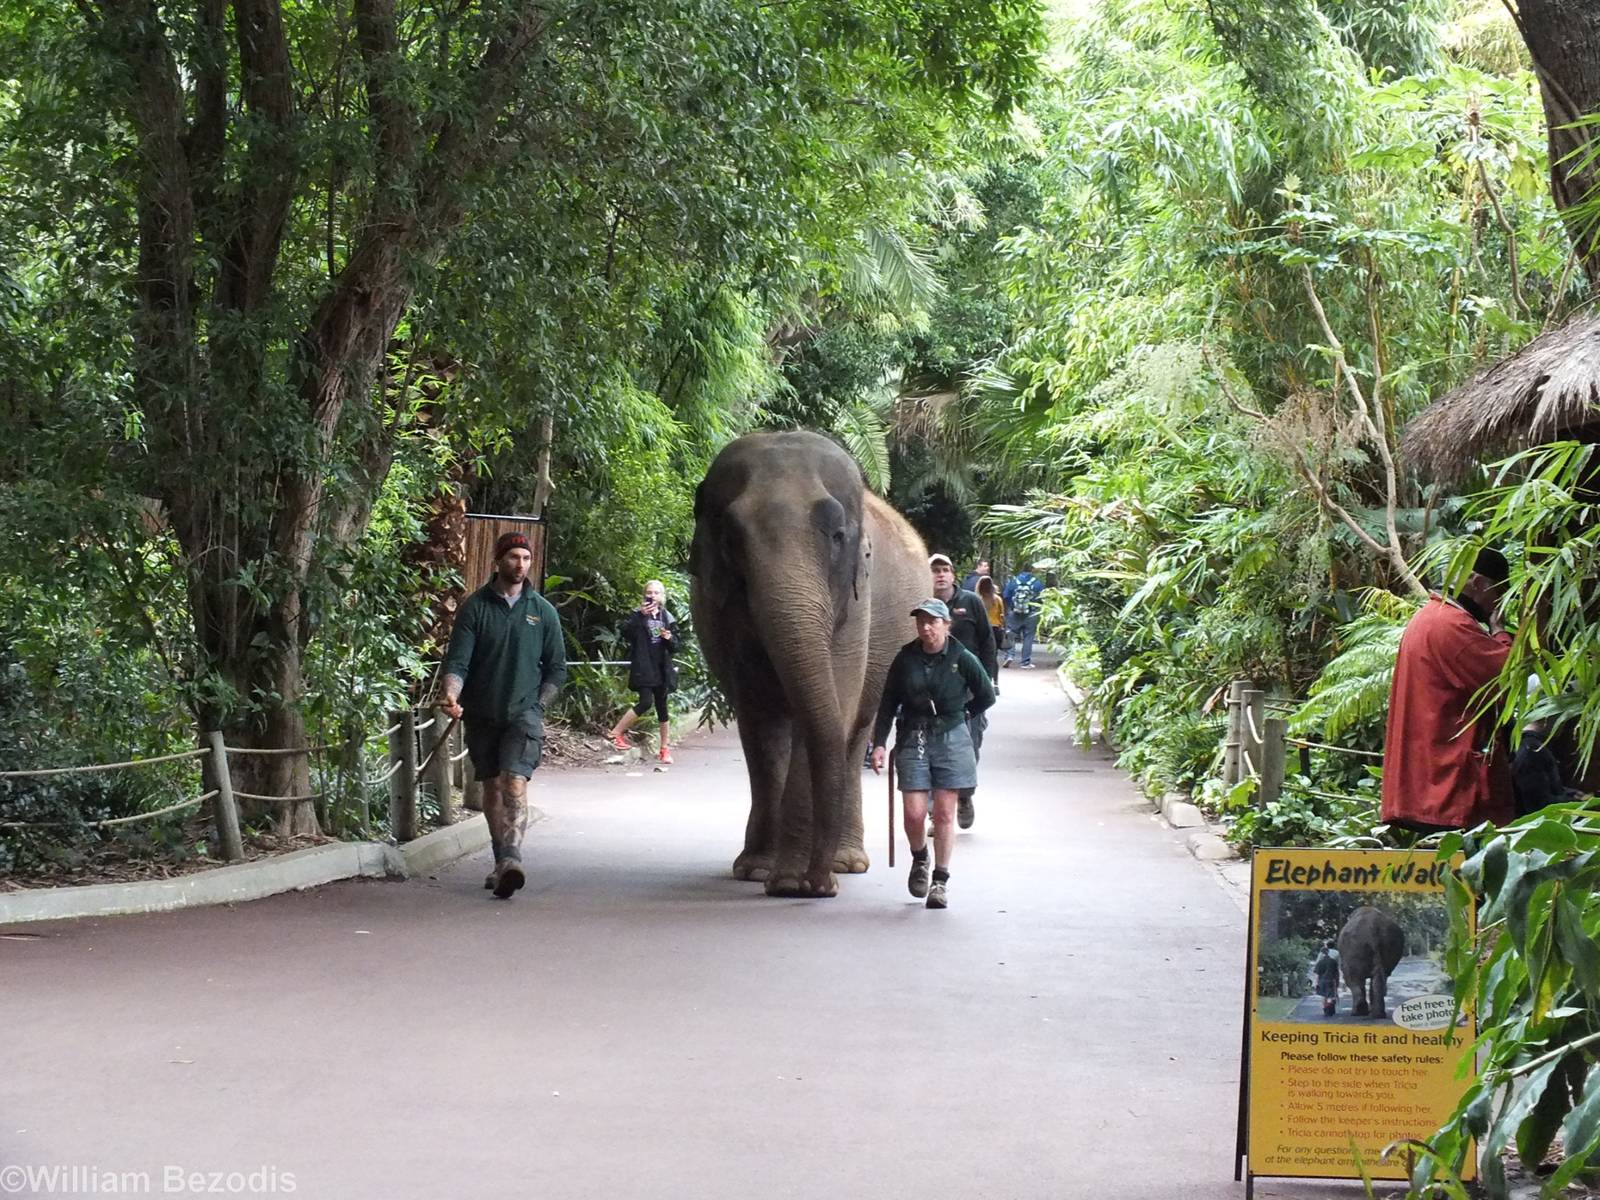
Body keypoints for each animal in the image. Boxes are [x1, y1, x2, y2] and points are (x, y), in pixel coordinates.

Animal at [689, 430, 928, 897]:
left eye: (837, 535)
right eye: (731, 539)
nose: (821, 886)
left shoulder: (858, 601)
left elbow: (833, 701)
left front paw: (791, 883)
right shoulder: (723, 613)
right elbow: (759, 718)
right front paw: (761, 873)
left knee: (855, 731)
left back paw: (847, 862)